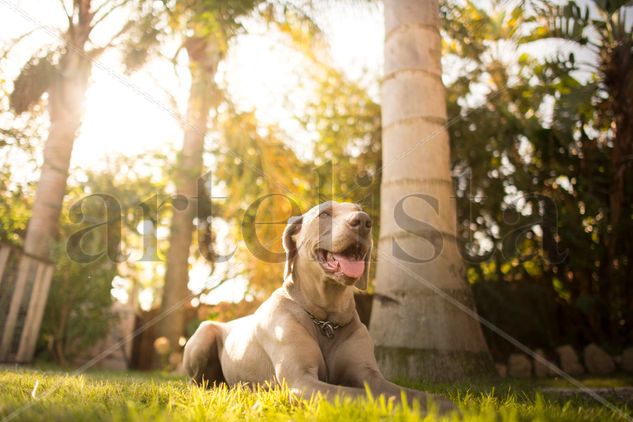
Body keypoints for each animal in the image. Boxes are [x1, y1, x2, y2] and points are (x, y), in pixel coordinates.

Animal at [183, 200, 454, 412]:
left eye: (360, 211)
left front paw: (441, 404)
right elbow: (361, 395)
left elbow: (403, 392)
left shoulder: (369, 374)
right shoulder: (301, 380)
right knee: (198, 384)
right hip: (204, 333)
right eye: (324, 214)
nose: (364, 221)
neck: (326, 317)